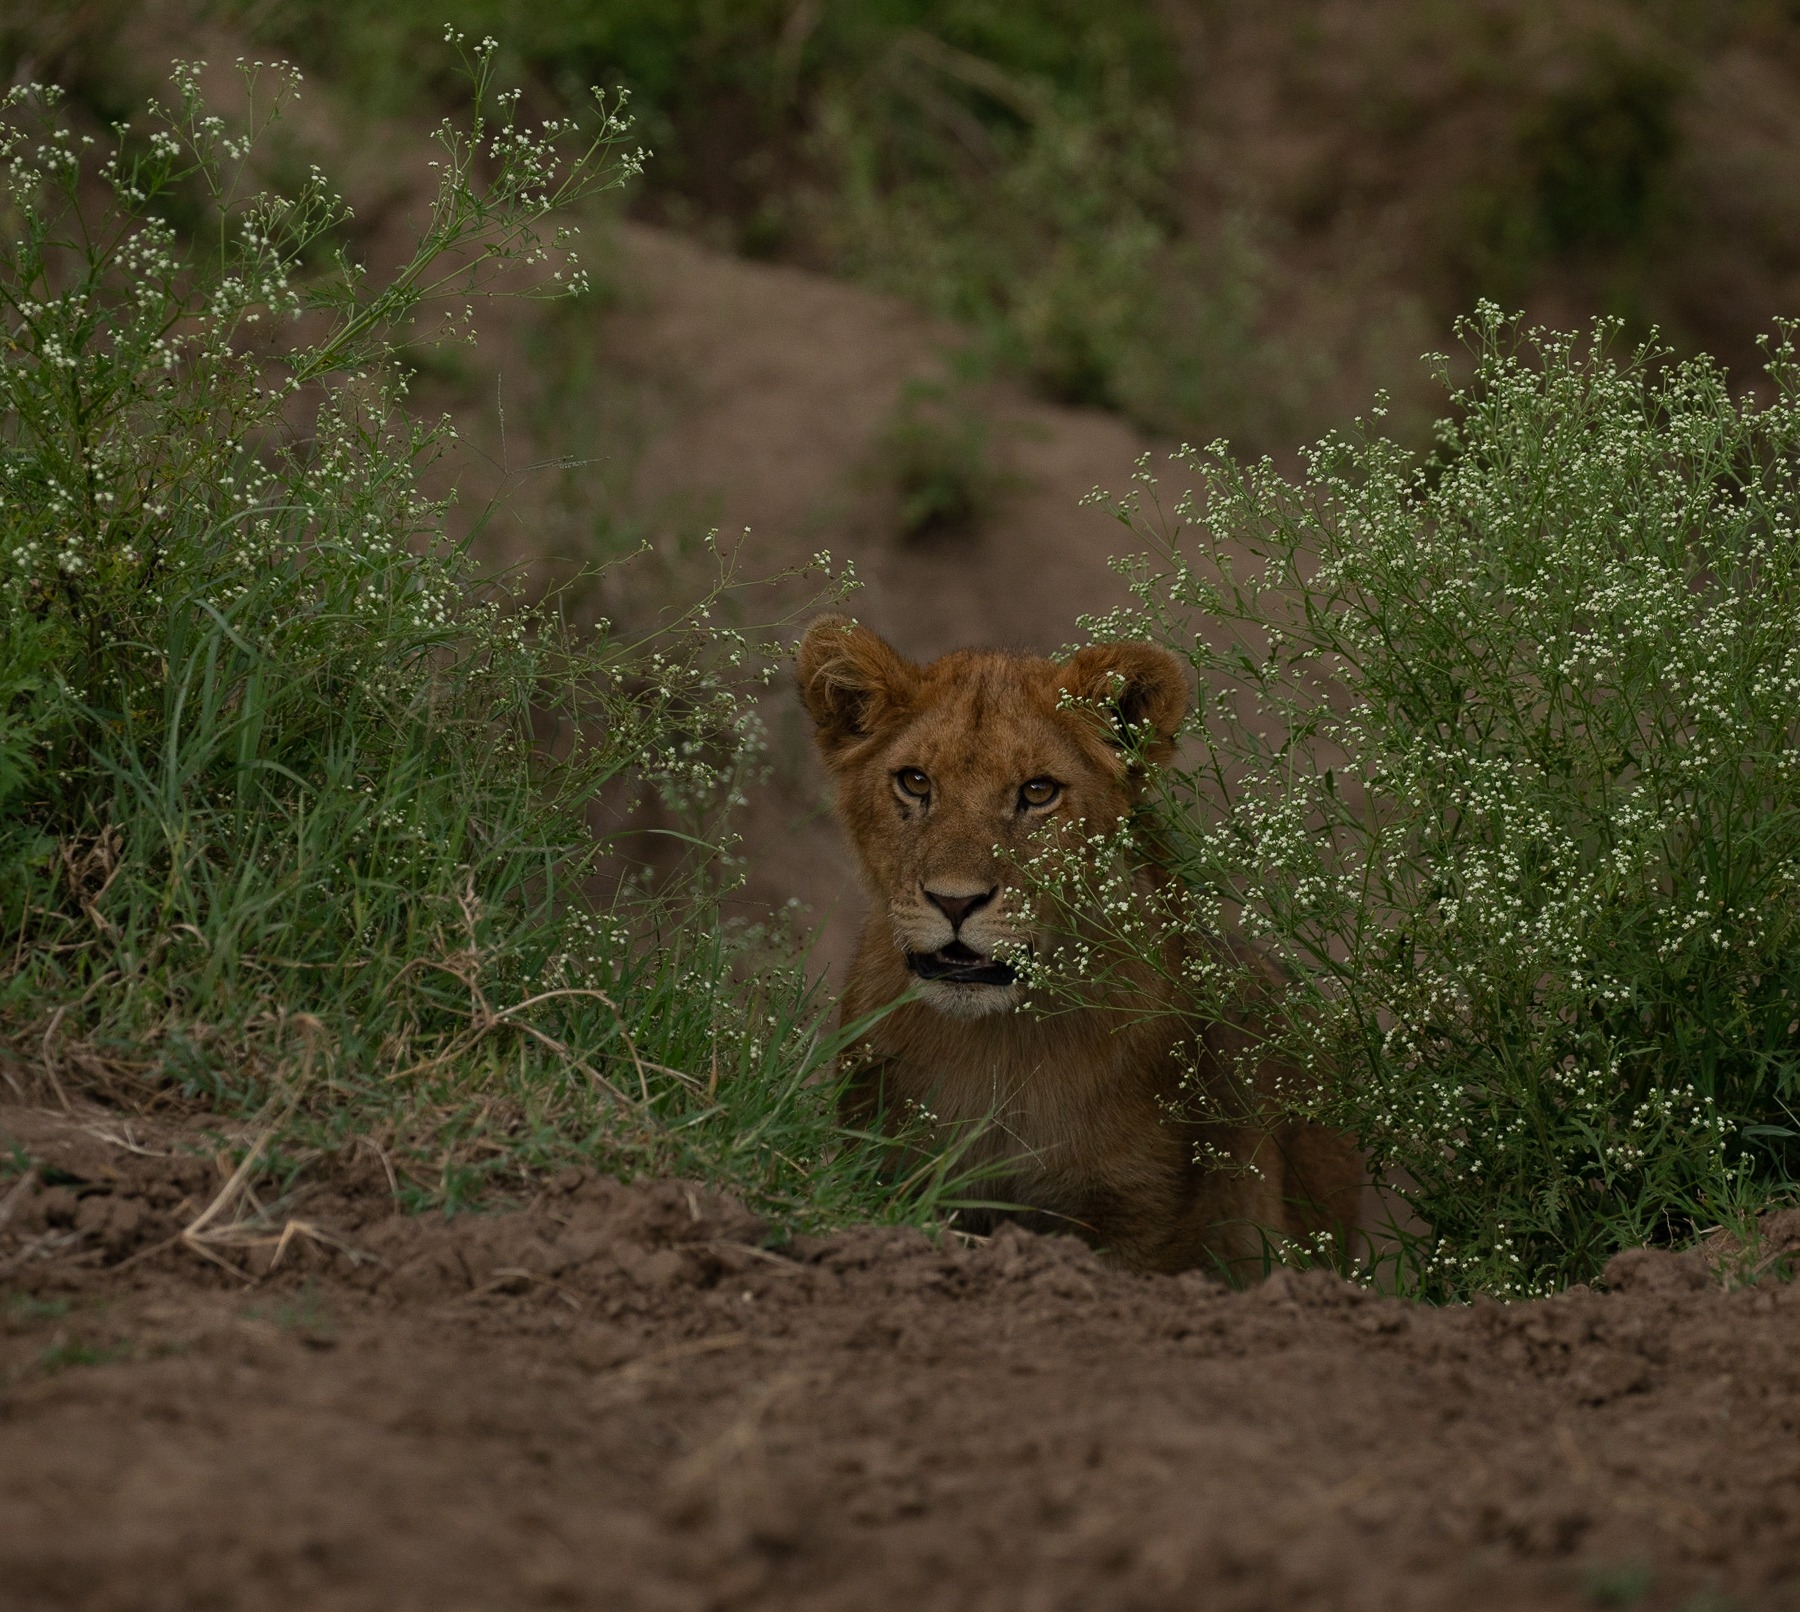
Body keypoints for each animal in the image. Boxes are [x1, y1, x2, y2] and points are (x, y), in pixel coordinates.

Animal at [795, 614, 1363, 1278]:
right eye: (914, 782)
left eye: (1038, 792)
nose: (956, 903)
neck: (998, 1045)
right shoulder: (886, 1170)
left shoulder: (1144, 1211)